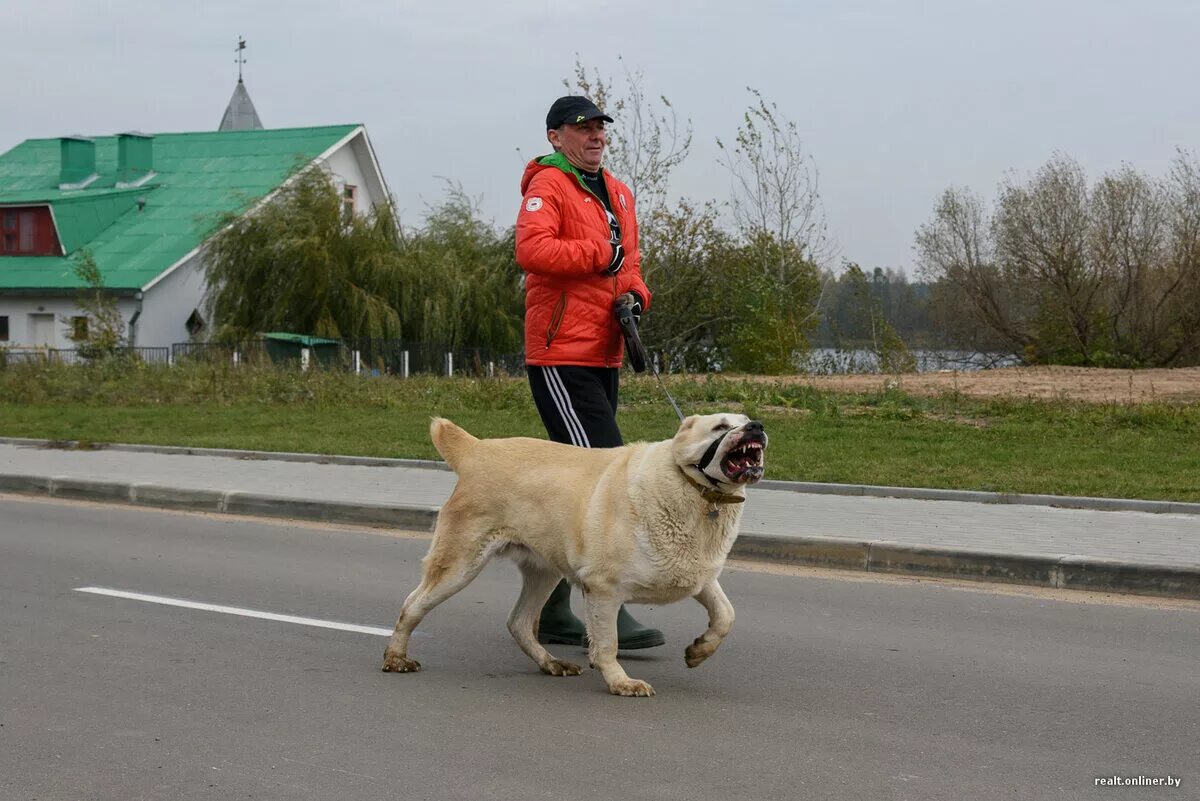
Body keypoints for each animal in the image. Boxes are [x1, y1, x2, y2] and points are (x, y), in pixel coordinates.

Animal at [379, 412, 763, 695]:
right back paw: (396, 658)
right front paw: (620, 682)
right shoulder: (602, 589)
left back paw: (551, 663)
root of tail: (475, 449)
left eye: (745, 419)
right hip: (460, 563)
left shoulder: (698, 574)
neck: (695, 491)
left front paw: (699, 651)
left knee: (519, 622)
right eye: (721, 426)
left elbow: (726, 615)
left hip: (544, 571)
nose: (757, 426)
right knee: (412, 605)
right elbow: (607, 642)